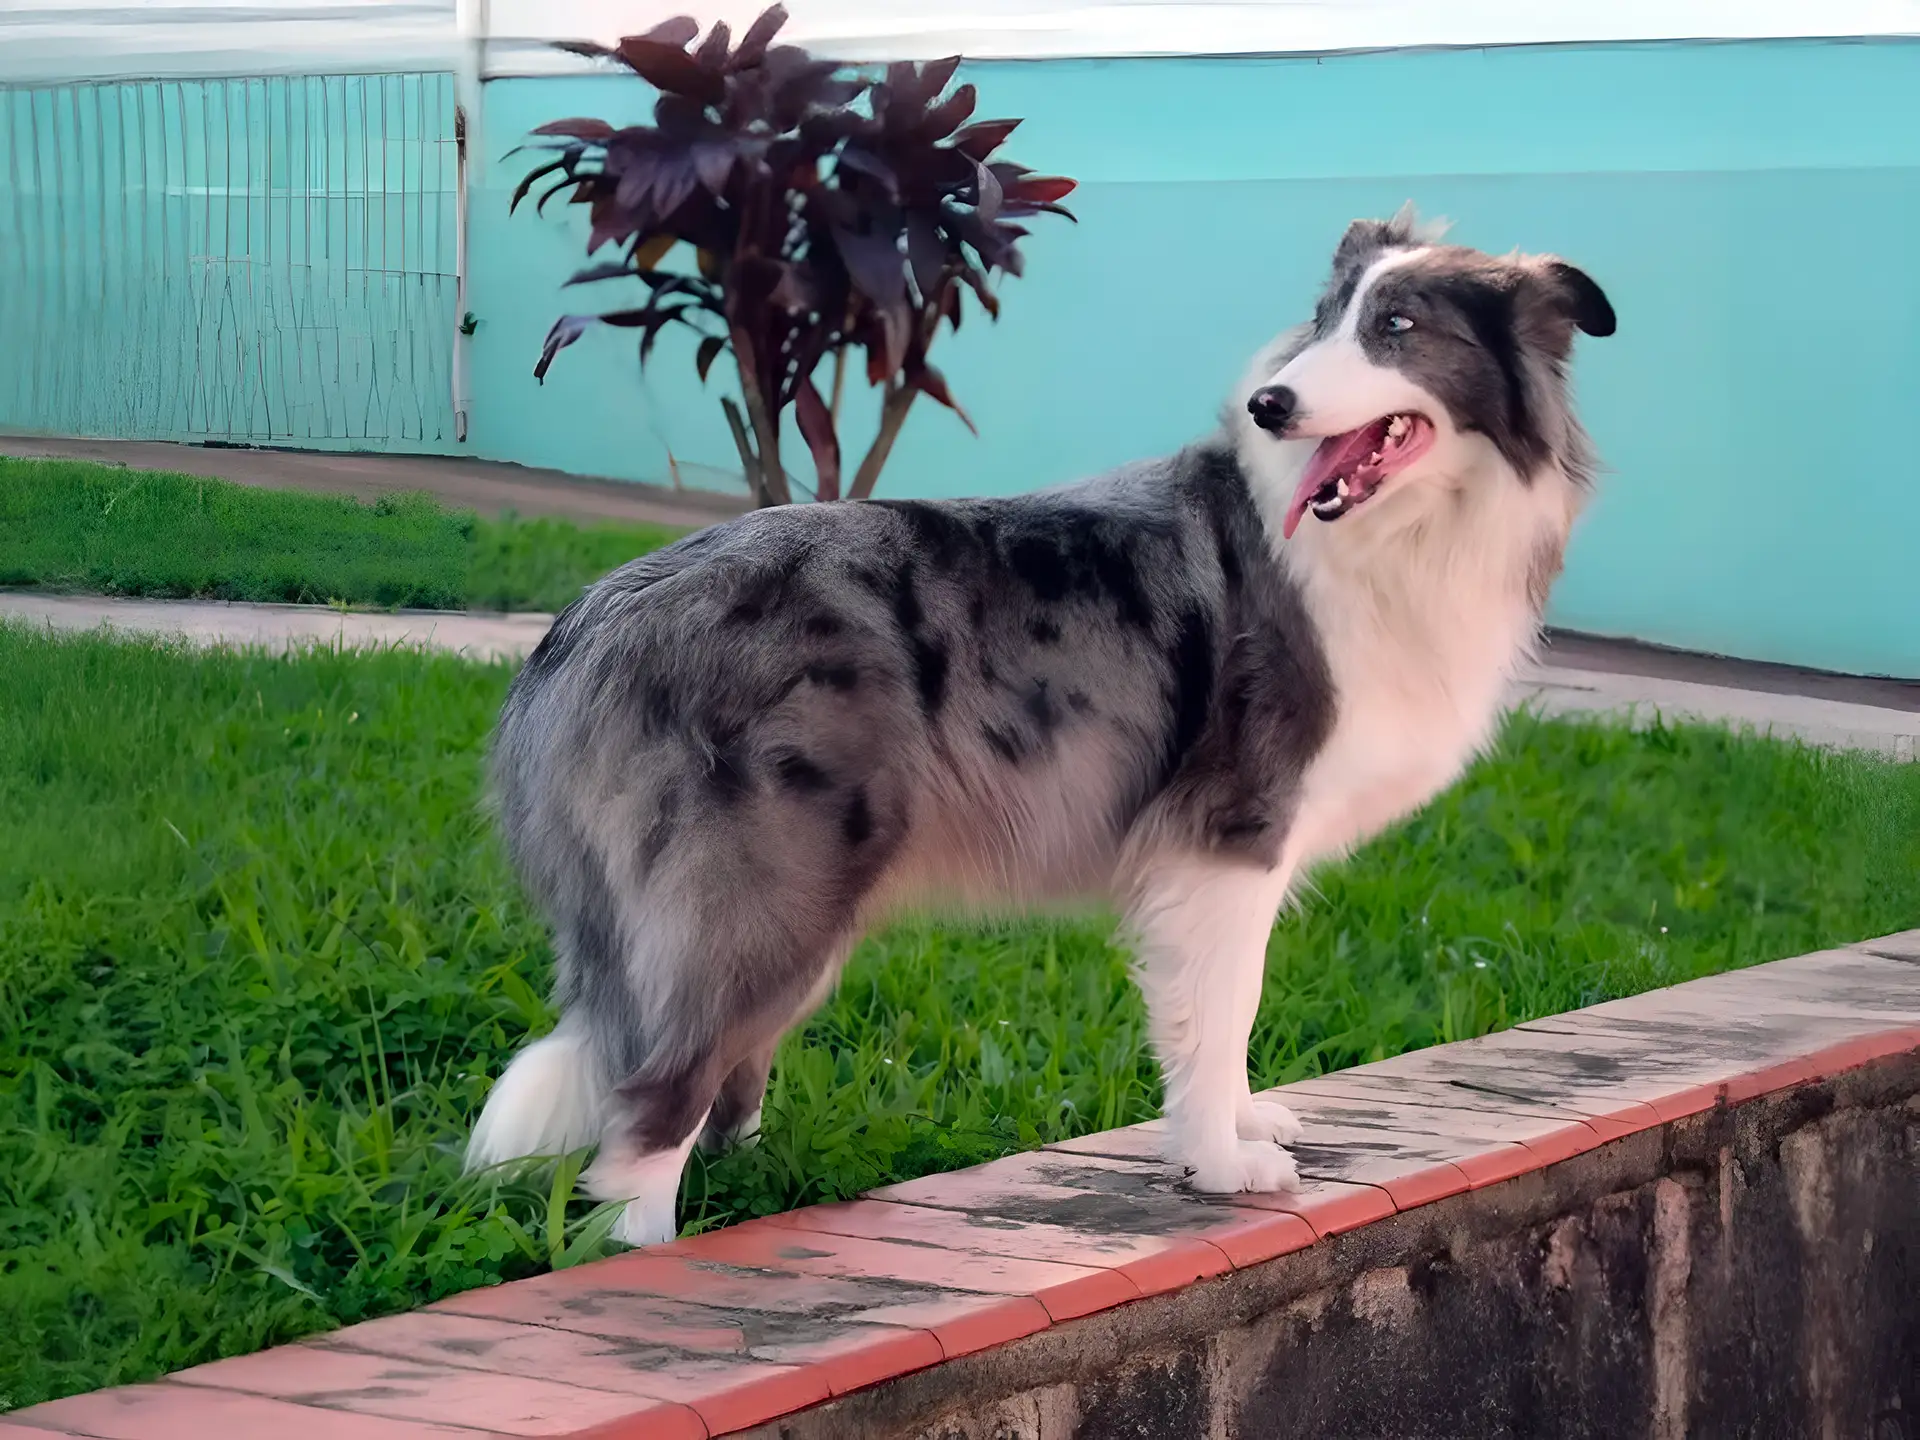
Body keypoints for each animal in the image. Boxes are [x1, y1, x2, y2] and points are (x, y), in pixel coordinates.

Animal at [468, 208, 1620, 1244]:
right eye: (1327, 319)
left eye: (1396, 327)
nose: (1271, 403)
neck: (1393, 536)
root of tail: (585, 623)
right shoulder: (1230, 837)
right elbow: (1224, 1012)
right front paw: (1221, 1163)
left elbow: (1222, 1019)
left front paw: (1241, 1125)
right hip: (761, 893)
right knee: (651, 1110)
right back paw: (645, 1251)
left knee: (713, 1082)